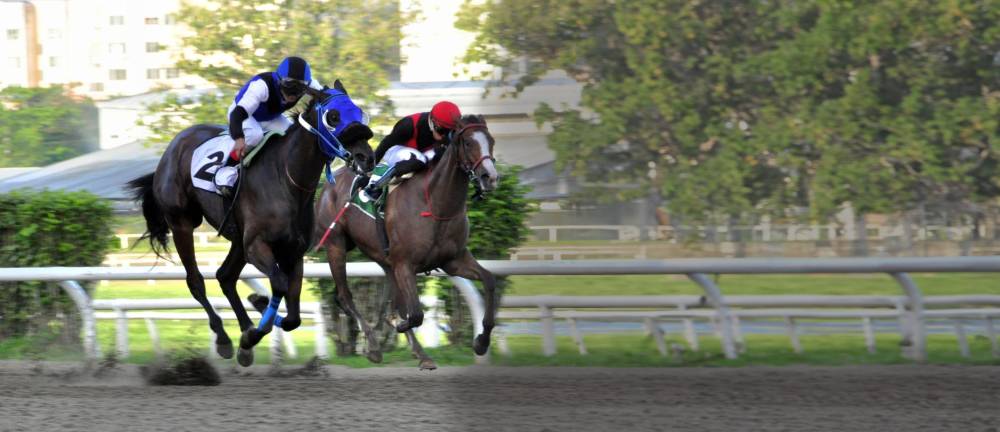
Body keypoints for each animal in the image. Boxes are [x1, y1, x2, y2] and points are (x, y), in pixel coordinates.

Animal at [126, 81, 374, 366]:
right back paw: (224, 338)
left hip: (237, 239)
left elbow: (293, 316)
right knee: (196, 281)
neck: (286, 179)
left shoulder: (292, 251)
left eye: (359, 112)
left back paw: (244, 330)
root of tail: (173, 146)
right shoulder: (257, 246)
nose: (367, 158)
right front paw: (254, 327)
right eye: (333, 117)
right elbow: (279, 285)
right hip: (182, 223)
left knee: (225, 276)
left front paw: (254, 320)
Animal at [313, 114, 500, 364]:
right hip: (336, 245)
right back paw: (374, 347)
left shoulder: (453, 260)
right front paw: (395, 325)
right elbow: (415, 314)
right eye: (468, 142)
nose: (490, 177)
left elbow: (489, 281)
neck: (435, 204)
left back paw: (420, 353)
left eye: (491, 141)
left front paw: (481, 342)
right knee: (344, 297)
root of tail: (329, 182)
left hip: (384, 258)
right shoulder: (405, 264)